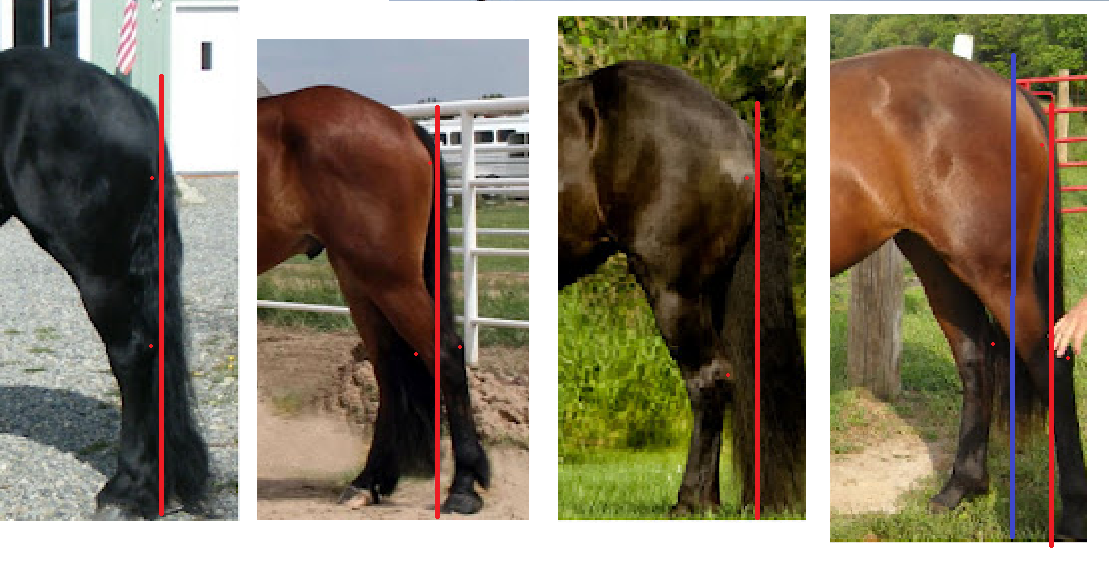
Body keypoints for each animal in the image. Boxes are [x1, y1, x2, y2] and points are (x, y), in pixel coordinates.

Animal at [257, 86, 491, 514]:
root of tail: (402, 126)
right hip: (360, 280)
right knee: (388, 369)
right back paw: (368, 482)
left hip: (387, 278)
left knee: (445, 355)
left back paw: (462, 487)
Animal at [830, 47, 1086, 540]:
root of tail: (1012, 93)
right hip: (937, 261)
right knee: (974, 359)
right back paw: (960, 488)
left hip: (997, 273)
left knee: (1051, 362)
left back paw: (1072, 518)